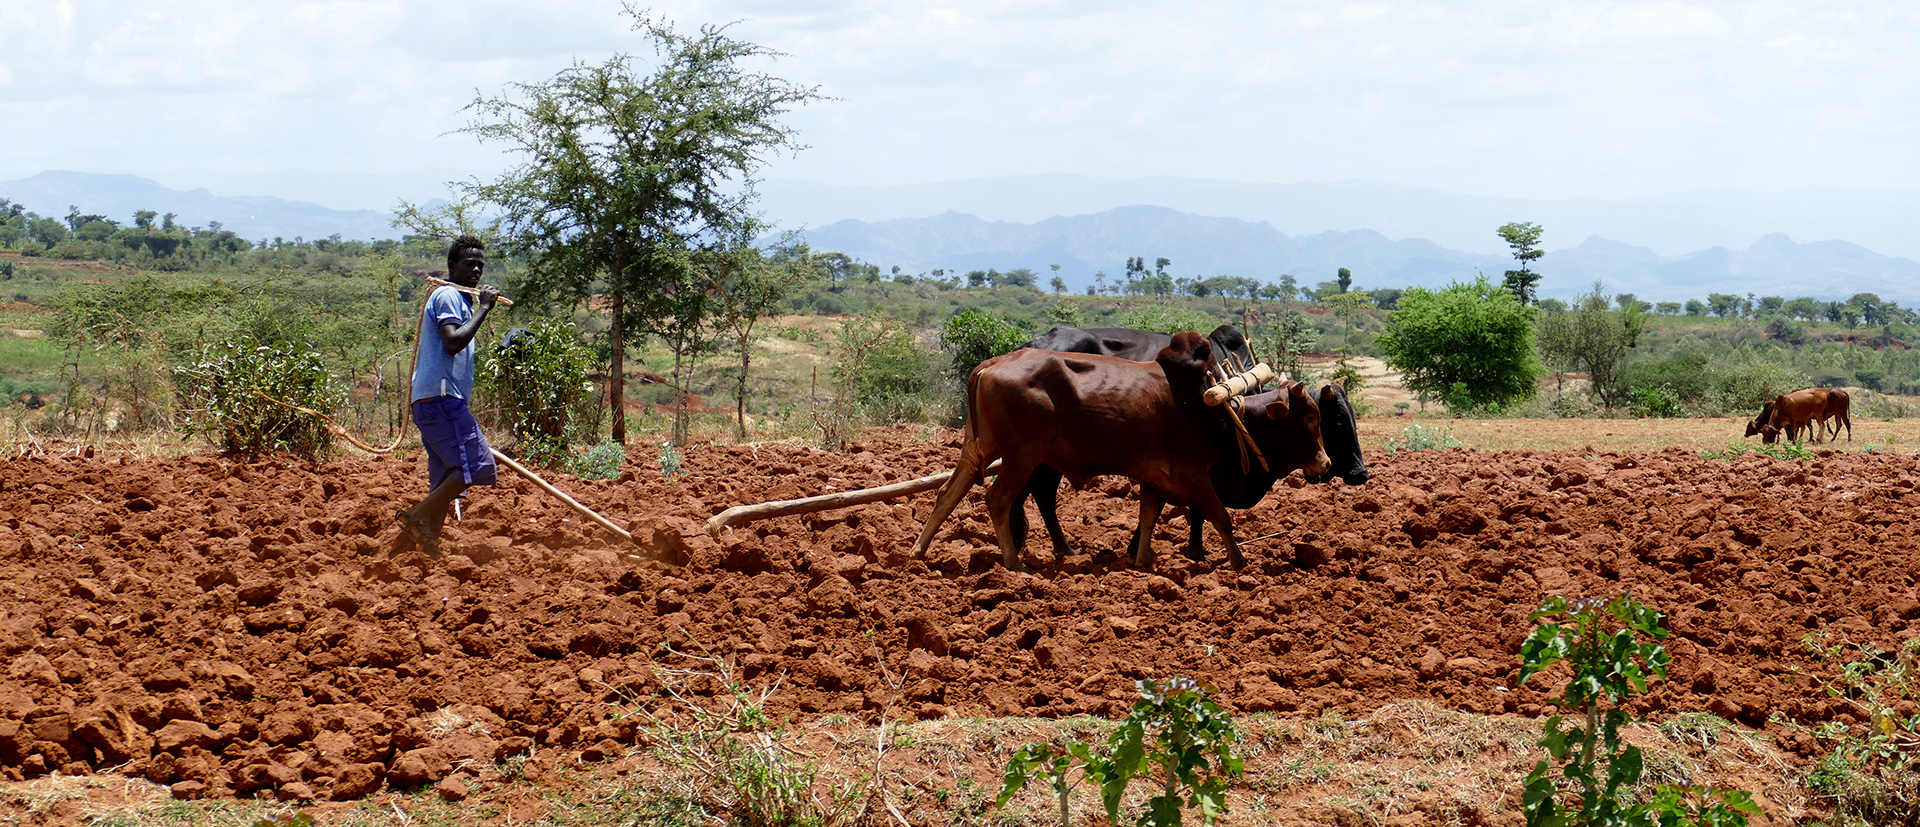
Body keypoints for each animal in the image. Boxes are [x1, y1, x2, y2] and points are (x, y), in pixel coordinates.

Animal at [906, 333, 1328, 571]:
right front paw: (1241, 564)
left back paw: (917, 552)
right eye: (1310, 416)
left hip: (978, 449)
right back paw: (1012, 564)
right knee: (998, 499)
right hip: (1022, 456)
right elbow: (1220, 517)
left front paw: (1140, 562)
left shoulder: (1154, 479)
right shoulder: (1193, 475)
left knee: (947, 494)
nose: (1324, 463)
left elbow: (1148, 519)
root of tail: (990, 364)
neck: (1220, 412)